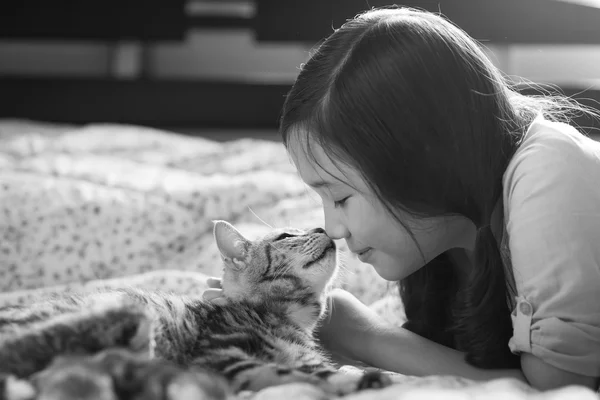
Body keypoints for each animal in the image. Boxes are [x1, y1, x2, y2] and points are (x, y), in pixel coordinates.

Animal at [0, 222, 390, 400]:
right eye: (285, 236)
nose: (323, 226)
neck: (290, 319)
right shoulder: (221, 355)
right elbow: (289, 372)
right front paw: (353, 380)